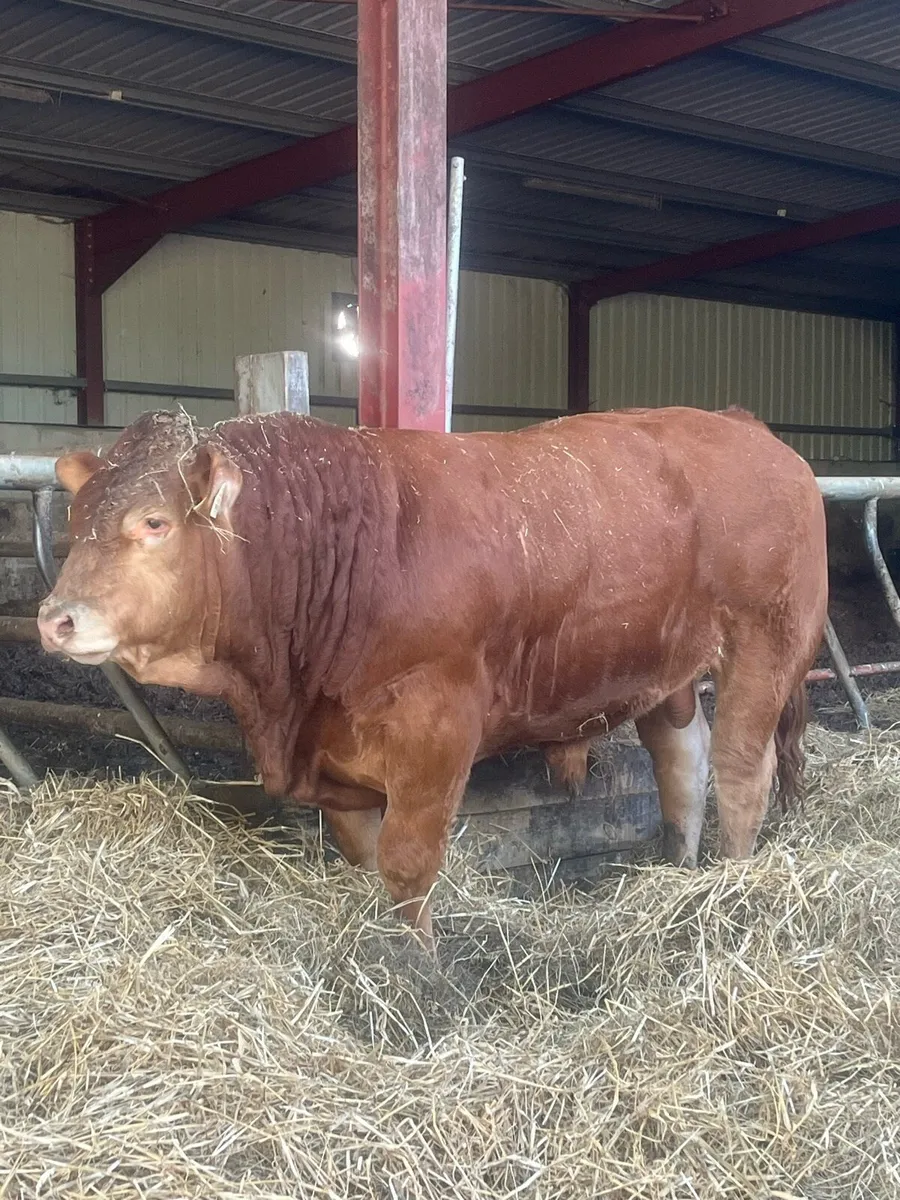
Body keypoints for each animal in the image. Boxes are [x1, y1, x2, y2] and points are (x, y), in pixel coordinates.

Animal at [38, 406, 828, 952]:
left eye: (154, 522)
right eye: (75, 522)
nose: (55, 619)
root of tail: (743, 424)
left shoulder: (436, 727)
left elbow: (407, 865)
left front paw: (420, 973)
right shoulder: (333, 753)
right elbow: (362, 855)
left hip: (766, 640)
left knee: (741, 769)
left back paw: (728, 887)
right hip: (664, 668)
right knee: (681, 763)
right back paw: (682, 869)